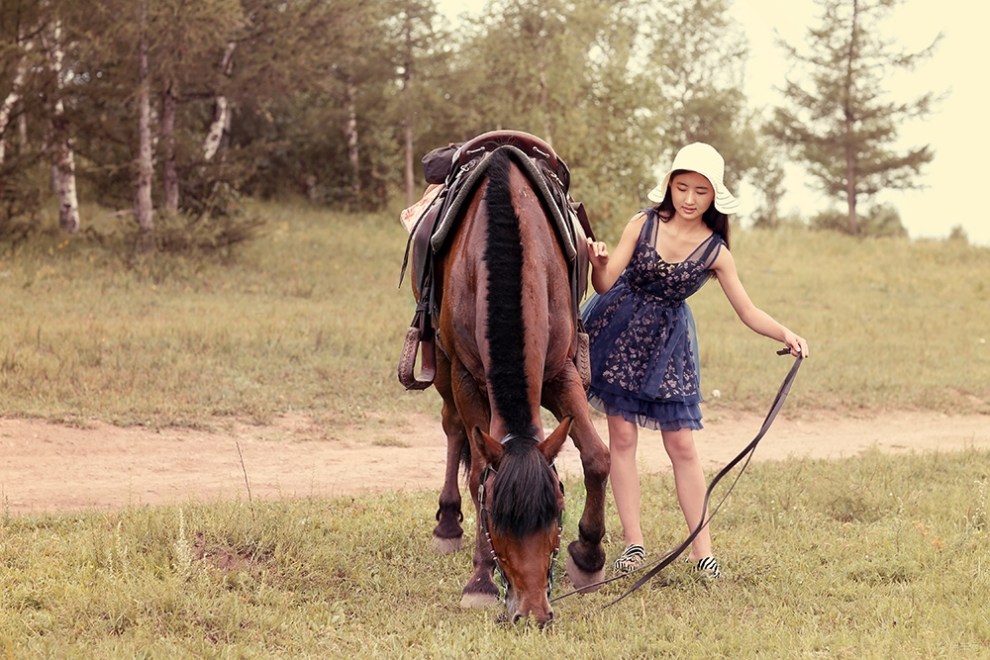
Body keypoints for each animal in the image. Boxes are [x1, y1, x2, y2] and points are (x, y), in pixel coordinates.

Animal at [418, 143, 612, 624]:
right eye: (496, 518)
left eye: (557, 511)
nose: (533, 611)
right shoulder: (466, 377)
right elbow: (476, 476)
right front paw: (480, 581)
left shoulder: (560, 373)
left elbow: (597, 456)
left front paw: (588, 557)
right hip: (444, 370)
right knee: (454, 429)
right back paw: (447, 523)